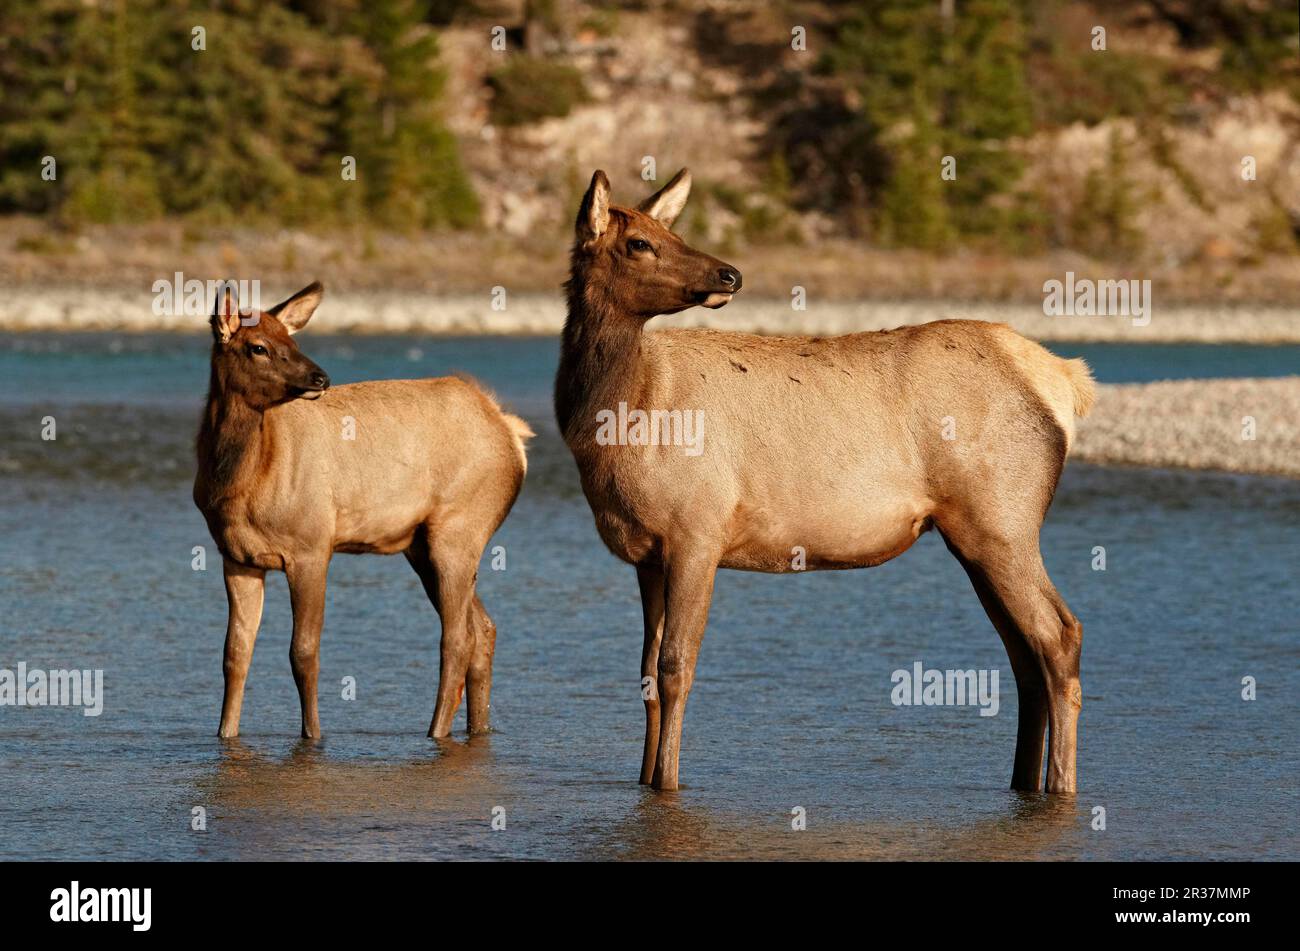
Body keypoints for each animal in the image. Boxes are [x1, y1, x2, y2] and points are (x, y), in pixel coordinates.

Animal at [192, 281, 527, 743]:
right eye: (258, 346)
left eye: (292, 340)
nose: (320, 377)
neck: (240, 481)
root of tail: (513, 435)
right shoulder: (237, 557)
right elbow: (234, 653)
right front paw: (225, 734)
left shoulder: (312, 546)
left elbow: (303, 652)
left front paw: (313, 735)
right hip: (422, 545)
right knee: (483, 628)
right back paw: (476, 729)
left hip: (458, 530)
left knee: (457, 637)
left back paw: (434, 731)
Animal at [559, 168, 1097, 795]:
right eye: (641, 241)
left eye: (671, 232)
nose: (729, 273)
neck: (618, 420)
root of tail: (1065, 380)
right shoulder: (646, 553)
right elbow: (645, 671)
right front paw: (645, 782)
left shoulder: (697, 532)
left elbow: (675, 667)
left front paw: (668, 781)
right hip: (977, 536)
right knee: (1024, 654)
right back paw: (1023, 784)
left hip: (1004, 521)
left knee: (1060, 635)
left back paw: (1061, 784)